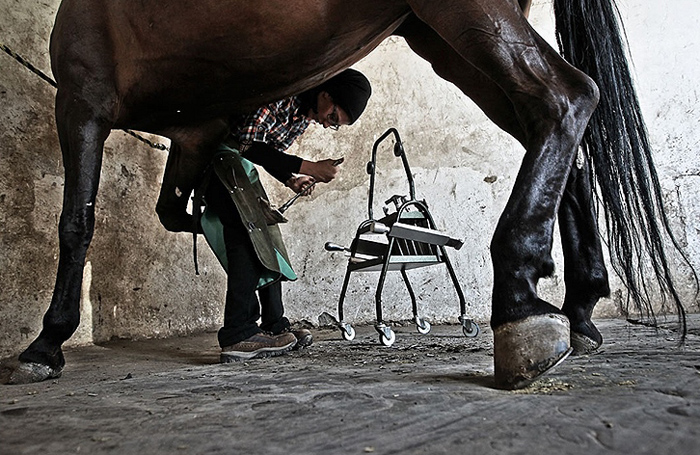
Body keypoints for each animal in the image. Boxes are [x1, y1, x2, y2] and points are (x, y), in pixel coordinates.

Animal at [6, 0, 688, 390]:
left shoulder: (83, 97)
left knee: (565, 96)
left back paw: (520, 304)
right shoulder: (196, 132)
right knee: (558, 135)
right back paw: (579, 308)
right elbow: (183, 213)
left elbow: (77, 222)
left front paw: (45, 345)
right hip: (440, 37)